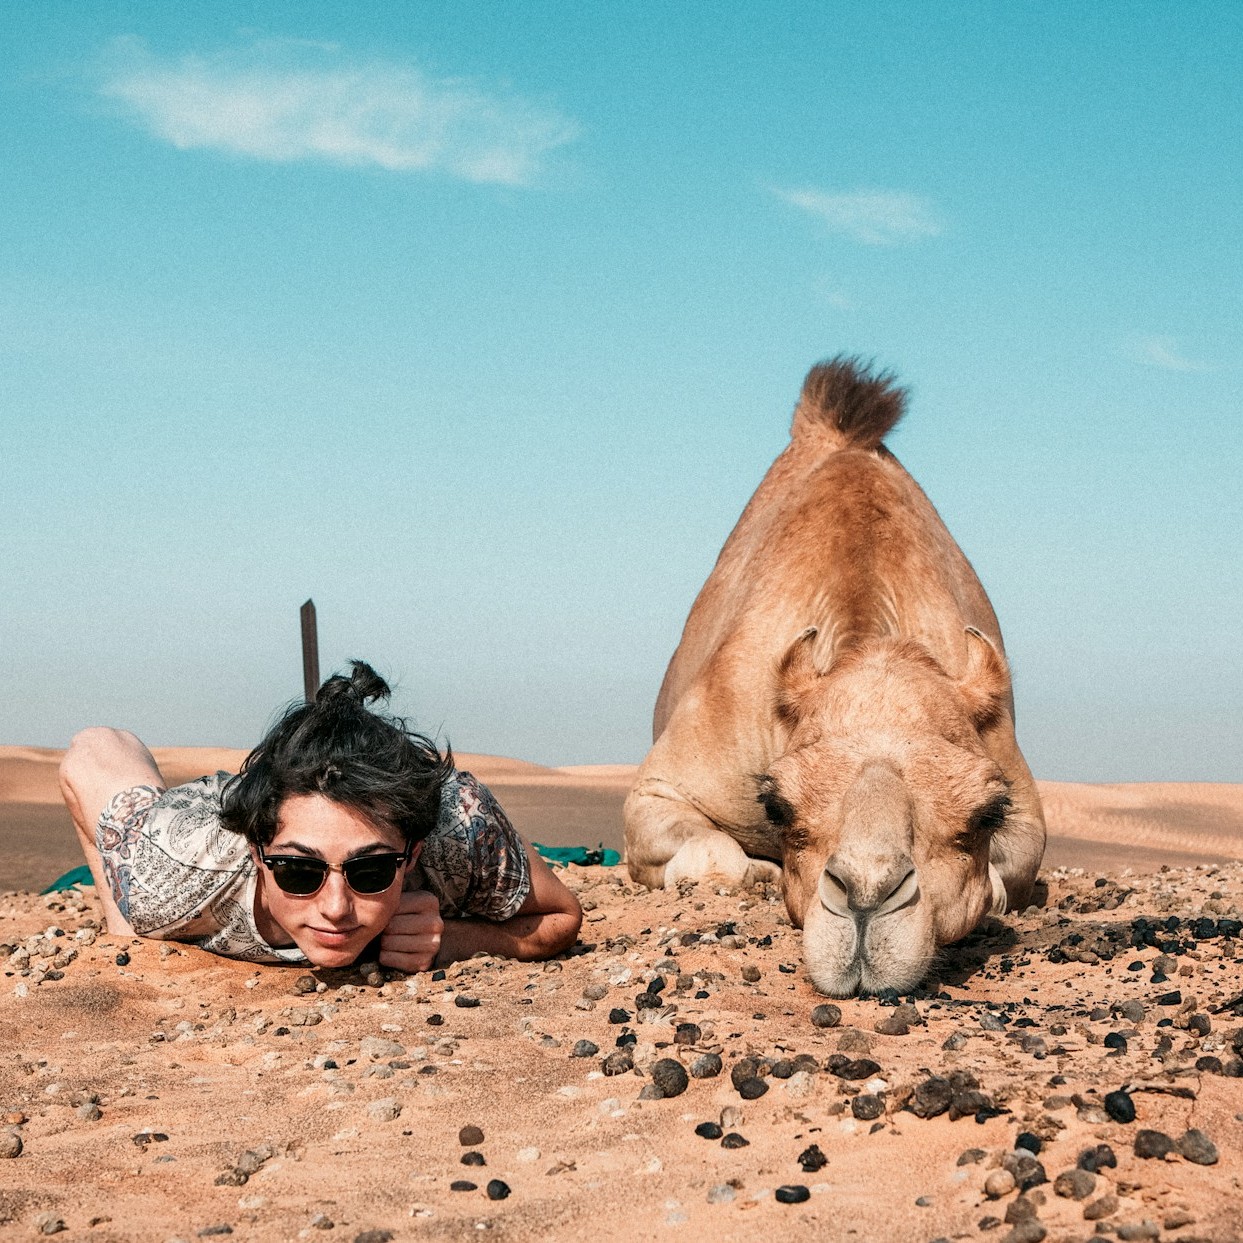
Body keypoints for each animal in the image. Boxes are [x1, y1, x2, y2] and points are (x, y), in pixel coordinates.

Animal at [624, 358, 1046, 996]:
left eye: (987, 813)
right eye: (777, 806)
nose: (866, 900)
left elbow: (1002, 882)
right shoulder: (665, 785)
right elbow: (718, 861)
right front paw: (757, 872)